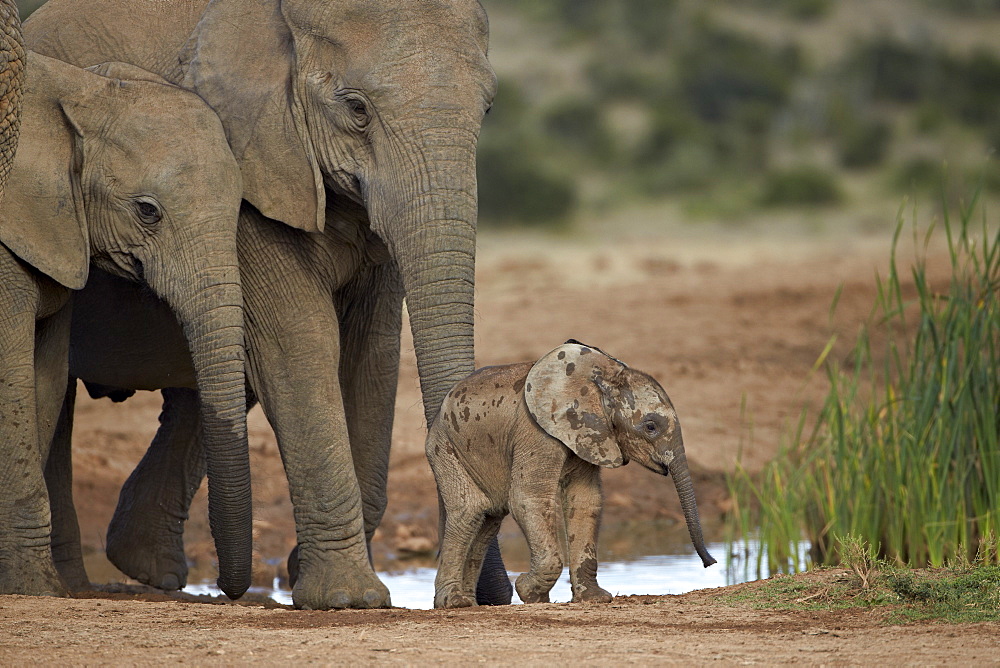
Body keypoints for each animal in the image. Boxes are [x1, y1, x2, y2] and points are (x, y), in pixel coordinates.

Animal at [0, 51, 249, 596]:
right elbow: (11, 382)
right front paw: (36, 588)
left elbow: (44, 381)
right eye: (147, 211)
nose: (223, 588)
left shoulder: (57, 235)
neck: (82, 91)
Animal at [25, 0, 508, 608]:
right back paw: (74, 585)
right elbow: (299, 341)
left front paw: (310, 573)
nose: (490, 596)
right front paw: (347, 600)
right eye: (356, 108)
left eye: (487, 108)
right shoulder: (253, 168)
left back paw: (146, 570)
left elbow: (371, 353)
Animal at [426, 342, 716, 608]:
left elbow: (585, 501)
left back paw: (468, 602)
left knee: (489, 517)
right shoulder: (536, 432)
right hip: (445, 449)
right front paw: (529, 593)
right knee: (471, 510)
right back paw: (455, 603)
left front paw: (594, 599)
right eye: (651, 427)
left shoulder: (590, 433)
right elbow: (528, 498)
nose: (710, 563)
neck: (603, 376)